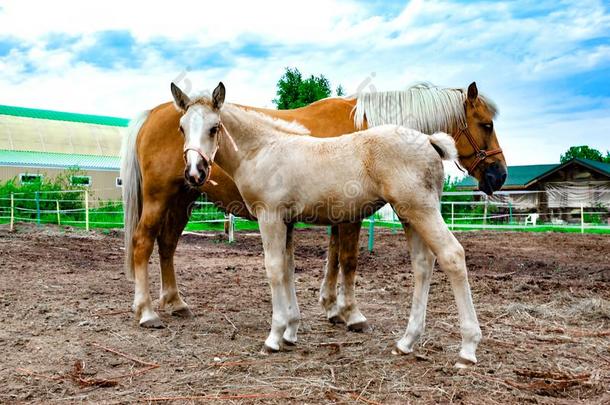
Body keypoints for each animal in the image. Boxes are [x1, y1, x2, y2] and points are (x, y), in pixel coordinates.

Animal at [119, 79, 504, 332]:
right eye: (486, 124)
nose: (499, 175)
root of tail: (150, 113)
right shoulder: (349, 217)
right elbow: (347, 260)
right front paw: (351, 313)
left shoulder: (337, 212)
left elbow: (332, 258)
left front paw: (331, 308)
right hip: (160, 197)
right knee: (143, 243)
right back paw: (146, 311)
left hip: (183, 198)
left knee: (167, 245)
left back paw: (174, 303)